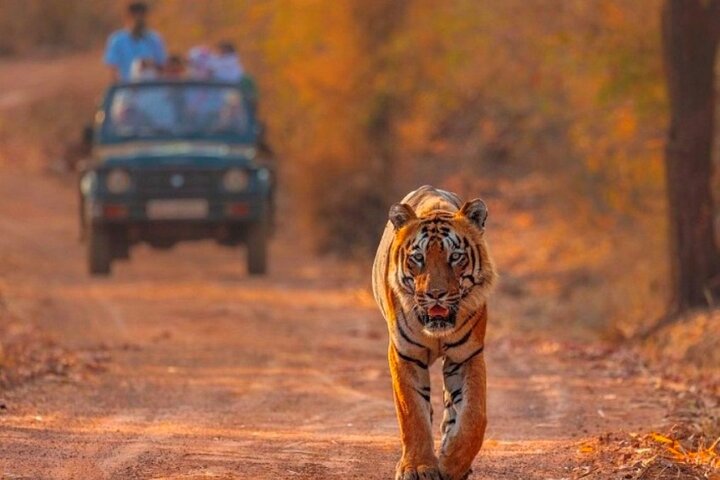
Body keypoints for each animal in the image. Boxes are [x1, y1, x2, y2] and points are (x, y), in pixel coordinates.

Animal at [372, 185, 497, 480]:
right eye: (418, 258)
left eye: (456, 257)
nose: (435, 294)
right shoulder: (405, 354)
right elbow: (413, 413)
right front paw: (417, 467)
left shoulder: (467, 354)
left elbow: (474, 416)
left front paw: (452, 463)